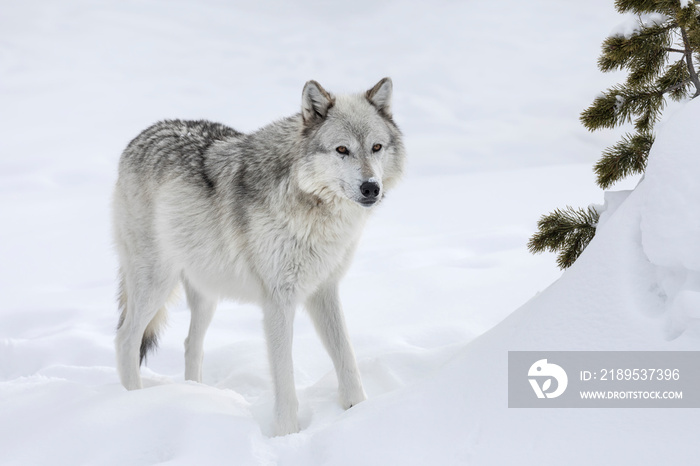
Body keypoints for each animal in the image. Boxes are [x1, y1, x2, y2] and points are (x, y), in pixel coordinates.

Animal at [113, 77, 408, 436]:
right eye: (342, 150)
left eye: (376, 147)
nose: (371, 188)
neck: (313, 210)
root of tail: (142, 135)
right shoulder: (278, 301)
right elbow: (284, 375)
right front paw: (286, 433)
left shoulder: (324, 290)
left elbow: (347, 357)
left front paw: (359, 411)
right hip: (156, 283)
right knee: (126, 339)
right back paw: (134, 402)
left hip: (207, 294)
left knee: (190, 345)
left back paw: (197, 395)